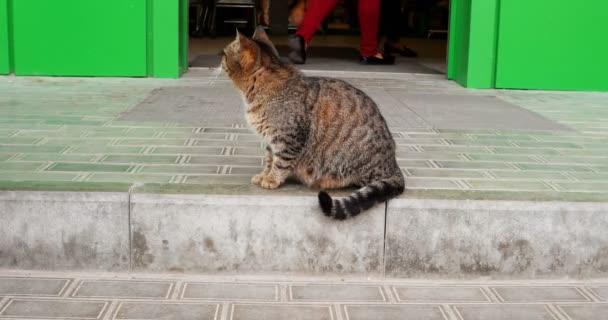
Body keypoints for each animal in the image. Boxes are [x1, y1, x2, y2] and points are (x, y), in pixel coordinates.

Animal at [221, 27, 406, 219]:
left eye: (225, 54)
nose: (220, 59)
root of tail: (393, 166)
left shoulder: (287, 139)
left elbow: (280, 163)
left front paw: (272, 179)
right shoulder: (271, 141)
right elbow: (269, 160)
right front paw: (263, 175)